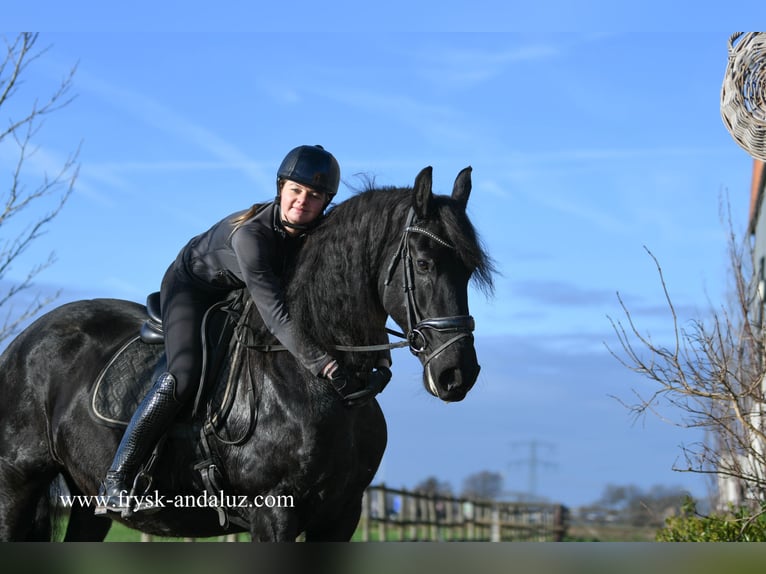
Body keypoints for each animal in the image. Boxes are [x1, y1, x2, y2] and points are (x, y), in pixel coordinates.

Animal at [0, 166, 494, 541]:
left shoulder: (341, 516)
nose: (457, 375)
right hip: (16, 486)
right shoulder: (274, 513)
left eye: (470, 270)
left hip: (85, 503)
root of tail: (24, 341)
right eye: (424, 264)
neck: (321, 381)